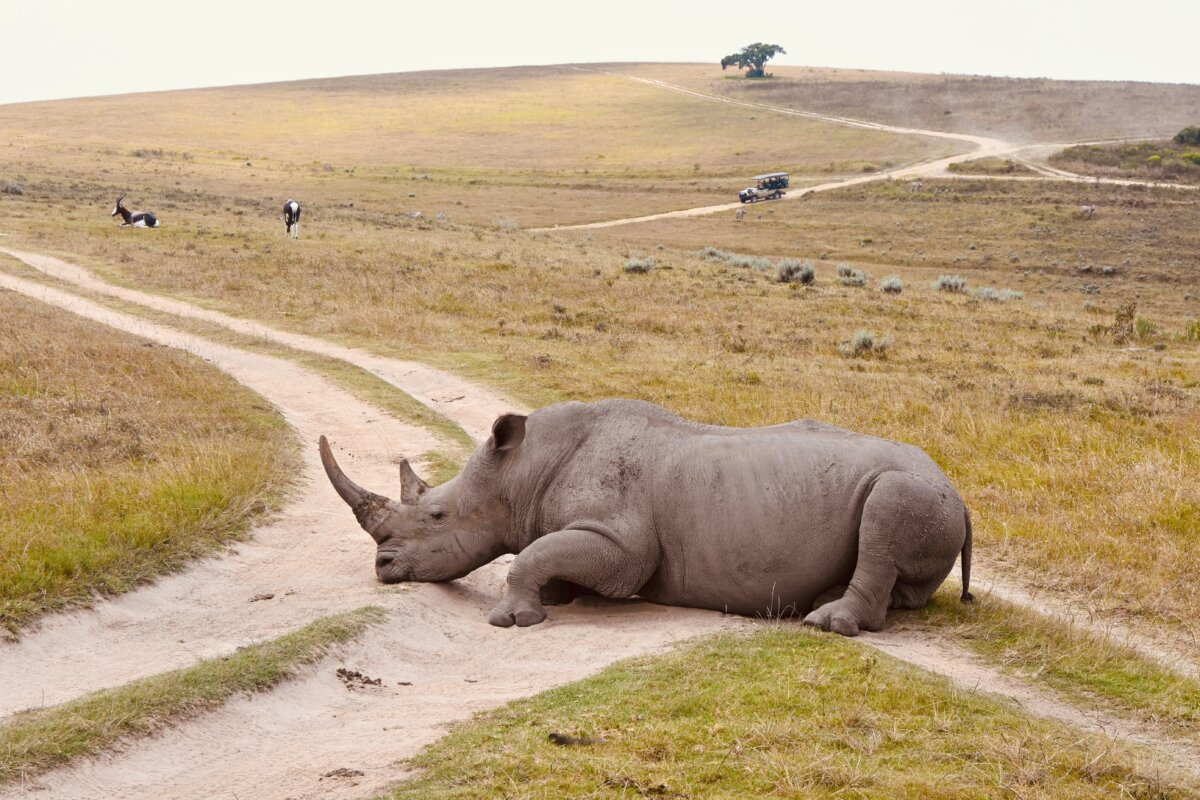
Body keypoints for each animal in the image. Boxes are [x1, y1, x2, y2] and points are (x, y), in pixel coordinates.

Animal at [319, 399, 973, 635]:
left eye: (436, 515)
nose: (383, 566)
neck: (521, 473)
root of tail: (961, 493)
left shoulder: (621, 545)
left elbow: (533, 554)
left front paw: (512, 620)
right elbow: (544, 552)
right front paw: (558, 599)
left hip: (914, 489)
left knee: (886, 509)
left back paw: (825, 624)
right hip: (930, 495)